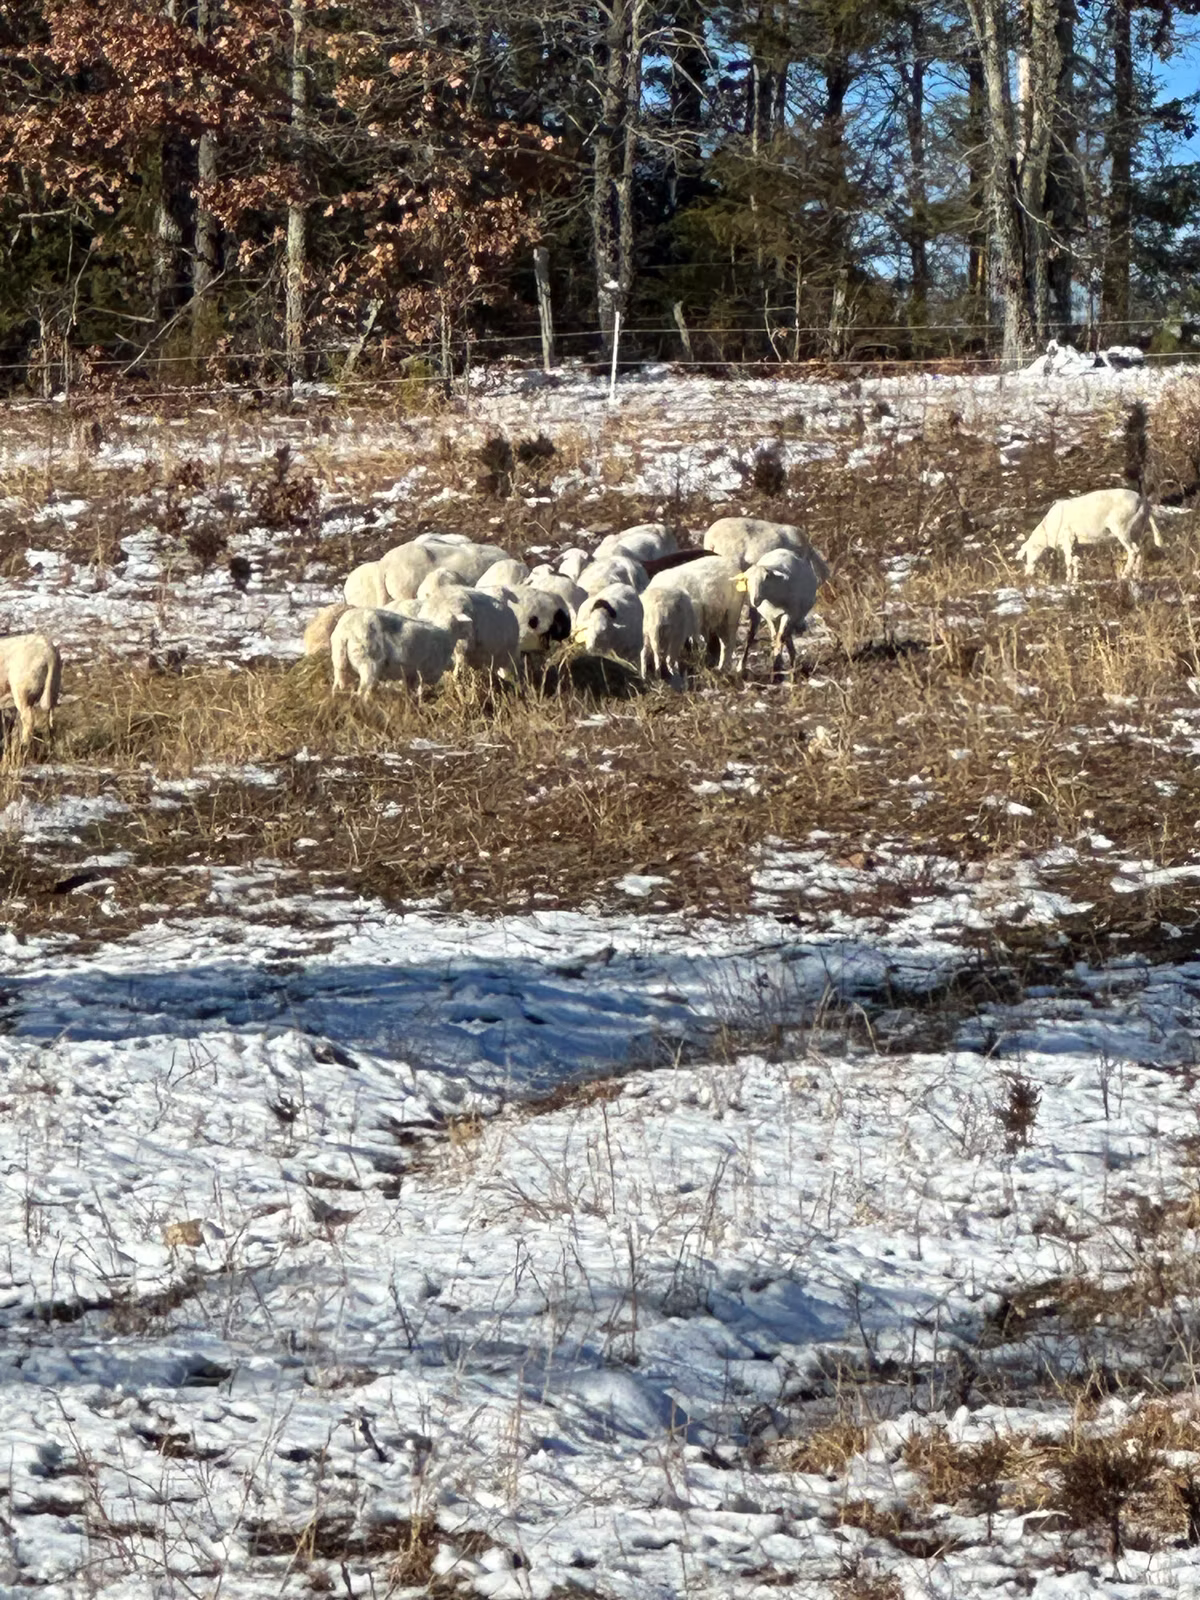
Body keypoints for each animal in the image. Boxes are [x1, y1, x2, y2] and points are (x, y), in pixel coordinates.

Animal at [330, 607, 469, 697]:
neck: (446, 632)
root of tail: (344, 631)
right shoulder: (424, 672)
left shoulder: (411, 674)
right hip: (369, 664)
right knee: (363, 693)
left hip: (340, 665)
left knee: (337, 688)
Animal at [736, 546, 829, 676]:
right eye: (747, 580)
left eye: (766, 577)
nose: (755, 599)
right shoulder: (769, 616)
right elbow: (775, 637)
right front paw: (776, 662)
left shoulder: (790, 614)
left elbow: (780, 637)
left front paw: (777, 663)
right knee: (777, 635)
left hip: (796, 615)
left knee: (785, 636)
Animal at [1018, 487, 1163, 582]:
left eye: (1026, 555)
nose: (1027, 575)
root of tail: (1143, 502)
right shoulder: (1075, 543)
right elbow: (1075, 560)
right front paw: (1075, 580)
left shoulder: (1068, 538)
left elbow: (1068, 561)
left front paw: (1068, 580)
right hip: (1137, 531)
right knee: (1141, 551)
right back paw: (1136, 576)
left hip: (1121, 528)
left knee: (1133, 551)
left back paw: (1124, 576)